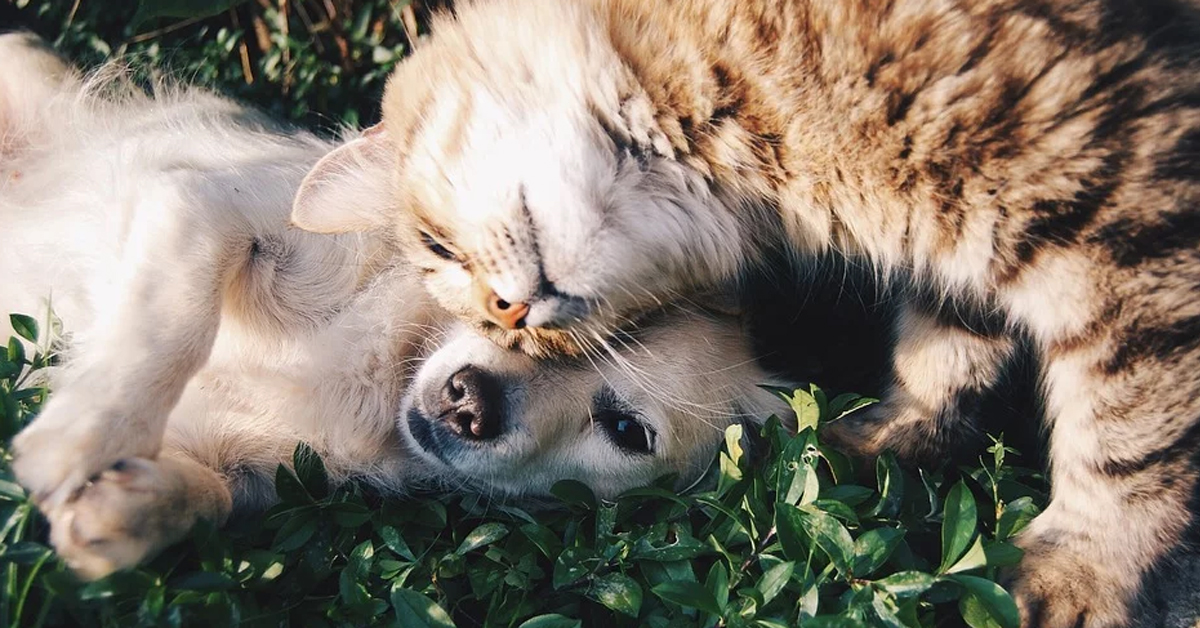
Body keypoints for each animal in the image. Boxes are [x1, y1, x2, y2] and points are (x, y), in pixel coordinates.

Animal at [288, 1, 1200, 624]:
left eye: (437, 246)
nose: (510, 316)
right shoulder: (960, 248)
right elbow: (944, 351)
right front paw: (887, 441)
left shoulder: (1126, 217)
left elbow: (1127, 439)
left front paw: (1083, 572)